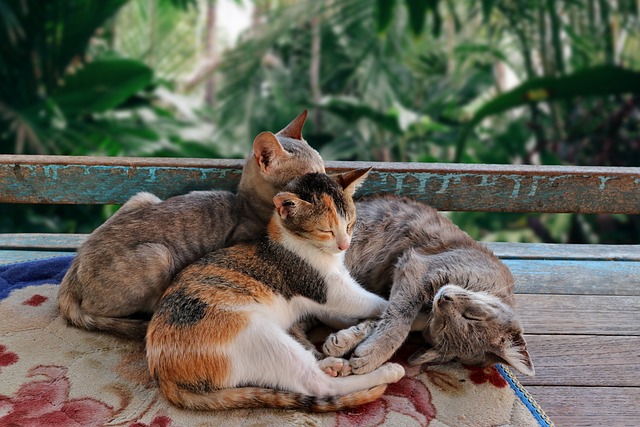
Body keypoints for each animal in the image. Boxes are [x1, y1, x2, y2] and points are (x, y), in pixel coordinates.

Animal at [57, 110, 324, 342]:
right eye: (313, 176)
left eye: (322, 168)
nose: (327, 179)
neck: (246, 207)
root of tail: (77, 263)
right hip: (157, 255)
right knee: (95, 308)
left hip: (144, 197)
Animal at [147, 171, 402, 414]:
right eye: (326, 230)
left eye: (350, 224)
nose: (344, 245)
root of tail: (163, 377)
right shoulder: (329, 289)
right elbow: (376, 302)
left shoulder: (321, 304)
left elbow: (345, 314)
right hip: (258, 335)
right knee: (316, 384)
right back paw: (387, 371)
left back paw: (332, 365)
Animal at [320, 196, 536, 376]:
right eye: (473, 315)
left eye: (443, 325)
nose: (443, 299)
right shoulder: (416, 267)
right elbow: (398, 321)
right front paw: (374, 353)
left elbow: (380, 318)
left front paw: (346, 342)